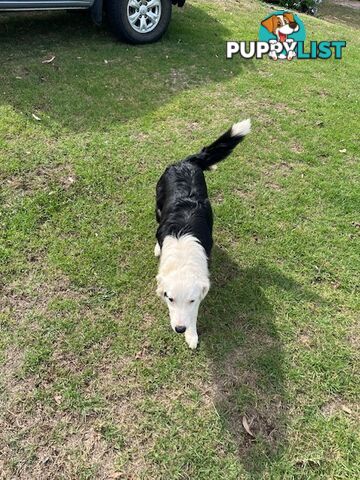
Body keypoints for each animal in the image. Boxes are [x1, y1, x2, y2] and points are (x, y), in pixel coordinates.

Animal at [154, 118, 250, 346]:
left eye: (191, 300)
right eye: (170, 298)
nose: (179, 329)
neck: (182, 254)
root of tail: (186, 162)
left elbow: (194, 313)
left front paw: (191, 334)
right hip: (158, 205)